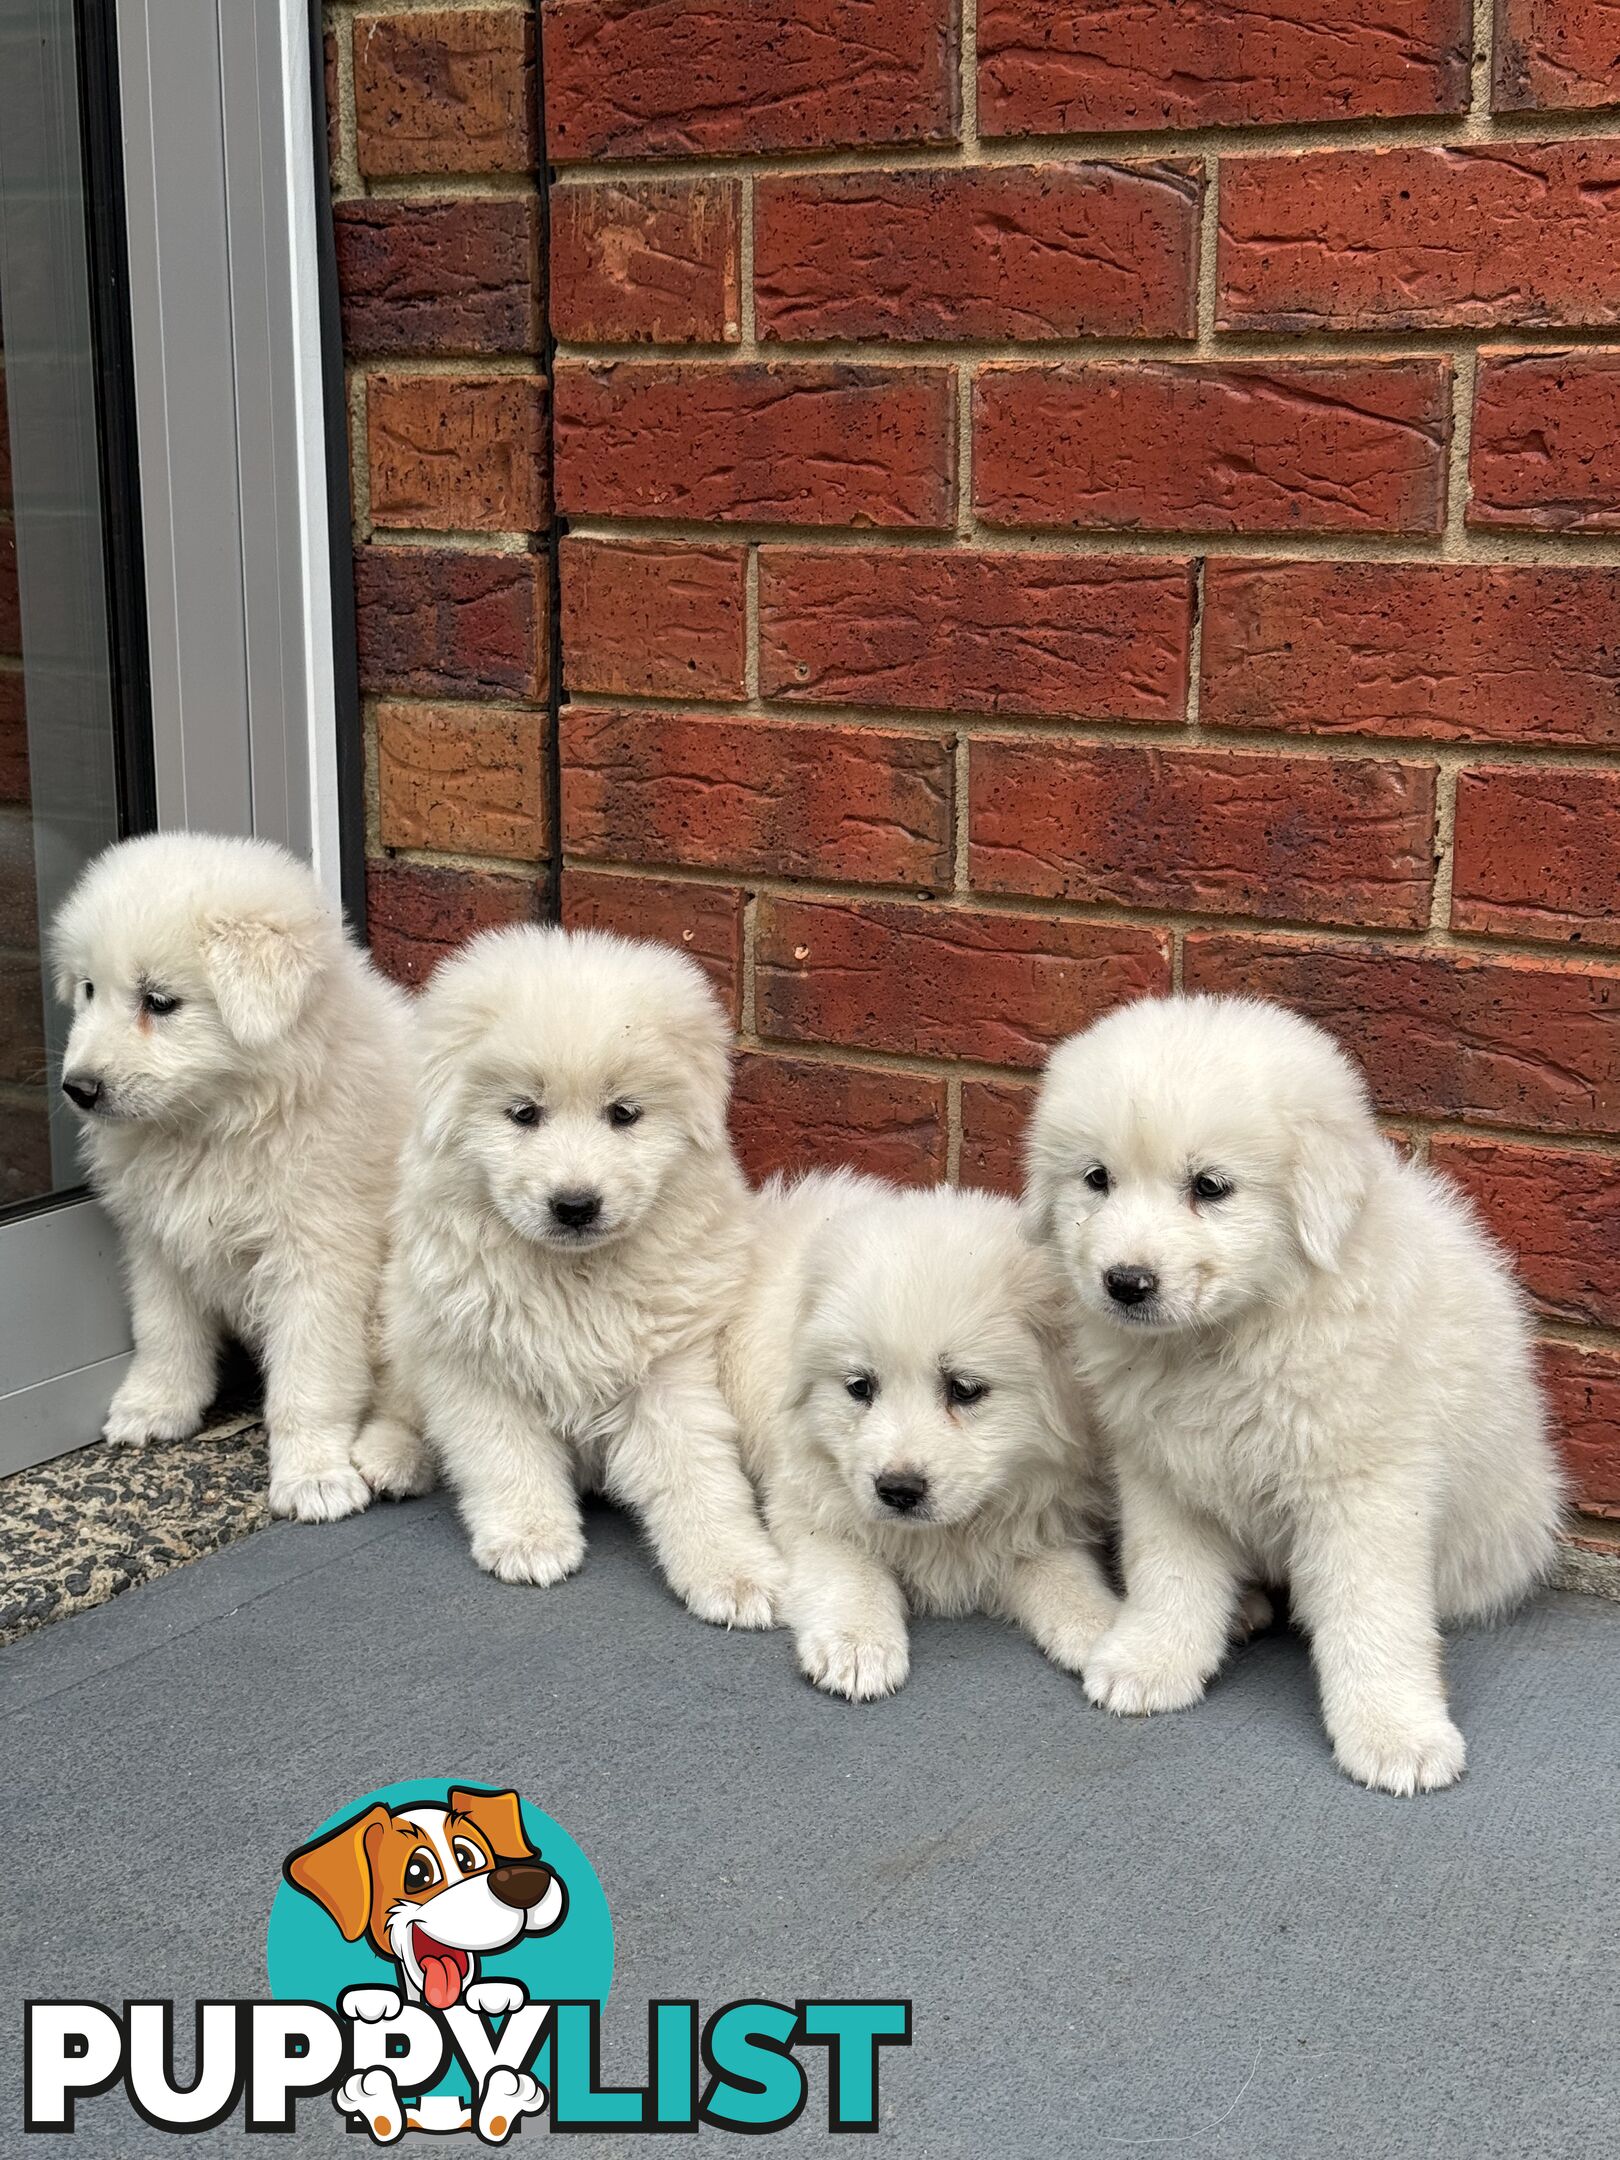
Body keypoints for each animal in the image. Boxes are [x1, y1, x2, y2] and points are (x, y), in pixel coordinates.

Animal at [54, 825, 414, 1520]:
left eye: (159, 1001)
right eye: (88, 989)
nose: (77, 1088)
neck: (216, 1125)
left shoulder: (317, 1259)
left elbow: (309, 1380)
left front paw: (314, 1477)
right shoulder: (157, 1239)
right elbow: (163, 1331)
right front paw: (154, 1406)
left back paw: (392, 1461)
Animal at [360, 920, 781, 1624]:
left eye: (624, 1113)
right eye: (524, 1113)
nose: (576, 1205)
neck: (572, 1275)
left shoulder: (669, 1367)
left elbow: (696, 1474)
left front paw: (735, 1574)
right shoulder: (474, 1363)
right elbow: (506, 1458)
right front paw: (531, 1542)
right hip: (404, 1324)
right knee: (400, 1403)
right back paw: (389, 1457)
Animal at [730, 1175, 1123, 1693]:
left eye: (965, 1389)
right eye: (860, 1386)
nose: (898, 1491)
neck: (948, 1534)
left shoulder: (1039, 1516)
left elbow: (1066, 1576)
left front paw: (1111, 1634)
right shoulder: (809, 1501)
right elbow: (848, 1567)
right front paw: (857, 1645)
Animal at [1028, 1002, 1572, 1797]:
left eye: (1210, 1186)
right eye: (1097, 1179)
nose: (1125, 1283)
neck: (1233, 1335)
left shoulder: (1366, 1488)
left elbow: (1373, 1613)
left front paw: (1396, 1734)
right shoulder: (1163, 1470)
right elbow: (1169, 1574)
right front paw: (1150, 1661)